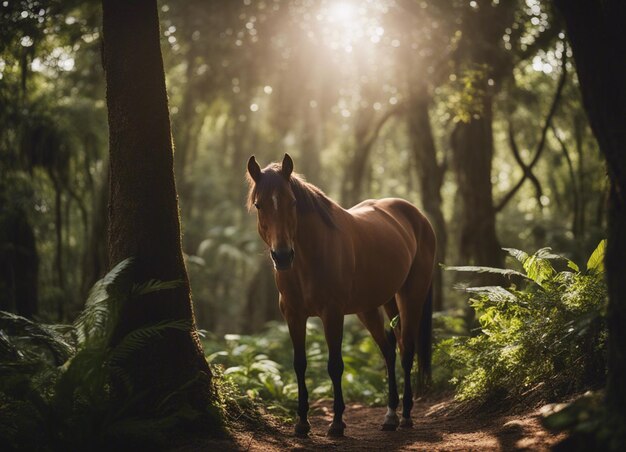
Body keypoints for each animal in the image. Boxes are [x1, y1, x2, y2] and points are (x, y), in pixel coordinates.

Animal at [245, 154, 434, 436]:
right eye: (259, 205)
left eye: (292, 202)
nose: (282, 256)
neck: (307, 260)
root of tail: (418, 216)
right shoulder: (294, 316)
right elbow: (299, 364)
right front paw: (302, 422)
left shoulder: (332, 314)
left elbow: (335, 365)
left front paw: (336, 422)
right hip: (375, 305)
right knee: (390, 350)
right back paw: (390, 414)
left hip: (410, 297)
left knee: (407, 349)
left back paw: (406, 415)